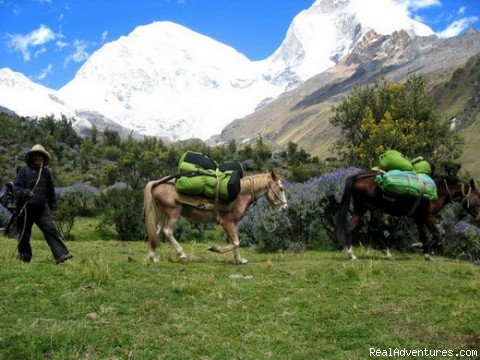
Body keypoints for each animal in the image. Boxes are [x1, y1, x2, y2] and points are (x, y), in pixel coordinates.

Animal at [142, 172, 284, 264]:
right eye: (281, 188)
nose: (285, 207)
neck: (240, 195)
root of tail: (157, 184)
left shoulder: (234, 223)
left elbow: (235, 241)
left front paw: (239, 260)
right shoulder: (226, 222)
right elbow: (235, 242)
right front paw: (213, 248)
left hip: (162, 214)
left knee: (155, 232)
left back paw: (153, 257)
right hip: (172, 213)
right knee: (167, 232)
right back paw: (182, 255)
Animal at [334, 170, 480, 260]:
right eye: (478, 197)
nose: (479, 217)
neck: (439, 191)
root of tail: (359, 178)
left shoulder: (419, 218)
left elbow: (423, 235)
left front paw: (425, 251)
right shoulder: (428, 216)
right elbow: (437, 234)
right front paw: (425, 251)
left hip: (360, 208)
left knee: (351, 227)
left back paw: (351, 254)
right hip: (376, 210)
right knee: (373, 230)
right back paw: (387, 252)